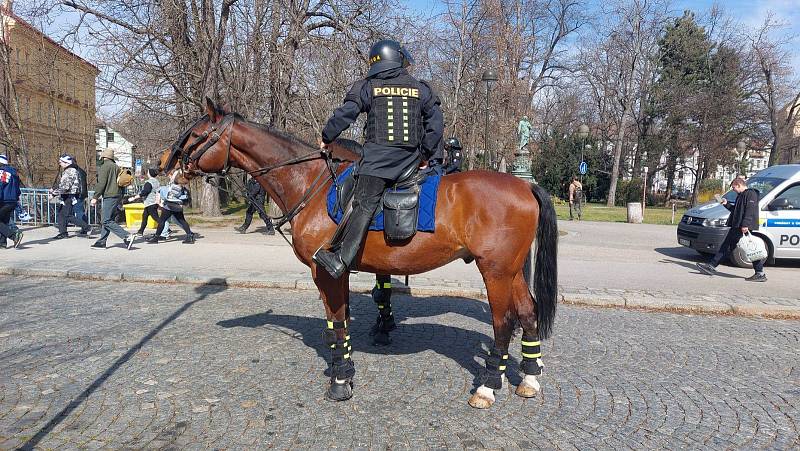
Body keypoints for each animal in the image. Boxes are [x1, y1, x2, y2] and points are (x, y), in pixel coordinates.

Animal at [158, 99, 556, 410]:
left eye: (196, 134)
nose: (164, 166)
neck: (311, 182)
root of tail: (525, 185)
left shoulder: (327, 271)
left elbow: (337, 323)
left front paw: (339, 381)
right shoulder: (340, 273)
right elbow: (343, 321)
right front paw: (345, 368)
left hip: (496, 271)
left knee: (504, 322)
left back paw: (488, 386)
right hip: (511, 270)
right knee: (528, 312)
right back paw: (529, 379)